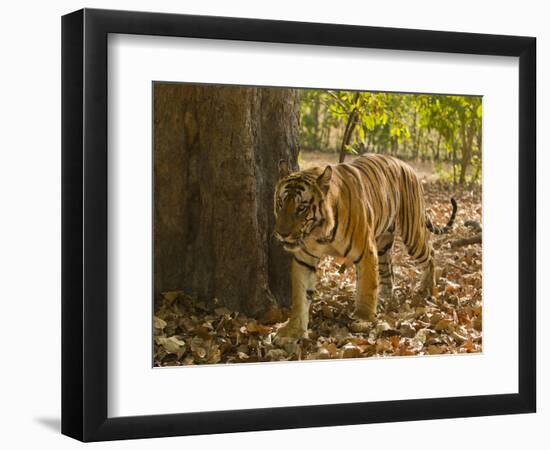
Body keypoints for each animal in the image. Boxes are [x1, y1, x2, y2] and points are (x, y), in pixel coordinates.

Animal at [274, 153, 460, 340]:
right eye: (281, 203)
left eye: (301, 208)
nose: (282, 233)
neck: (319, 233)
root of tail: (407, 166)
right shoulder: (304, 260)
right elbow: (300, 297)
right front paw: (292, 331)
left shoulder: (366, 252)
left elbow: (366, 289)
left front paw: (363, 320)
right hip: (383, 244)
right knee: (389, 272)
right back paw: (384, 297)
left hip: (412, 235)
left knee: (431, 254)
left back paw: (427, 289)